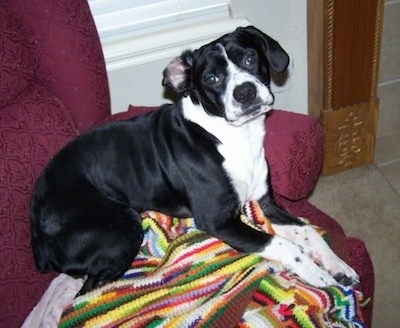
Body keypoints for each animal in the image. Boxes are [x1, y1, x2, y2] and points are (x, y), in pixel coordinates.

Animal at [29, 25, 358, 294]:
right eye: (212, 78)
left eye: (250, 58)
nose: (245, 92)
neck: (235, 138)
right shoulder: (219, 221)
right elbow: (283, 243)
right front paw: (316, 275)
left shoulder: (265, 203)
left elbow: (307, 231)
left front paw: (338, 266)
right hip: (123, 225)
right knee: (87, 291)